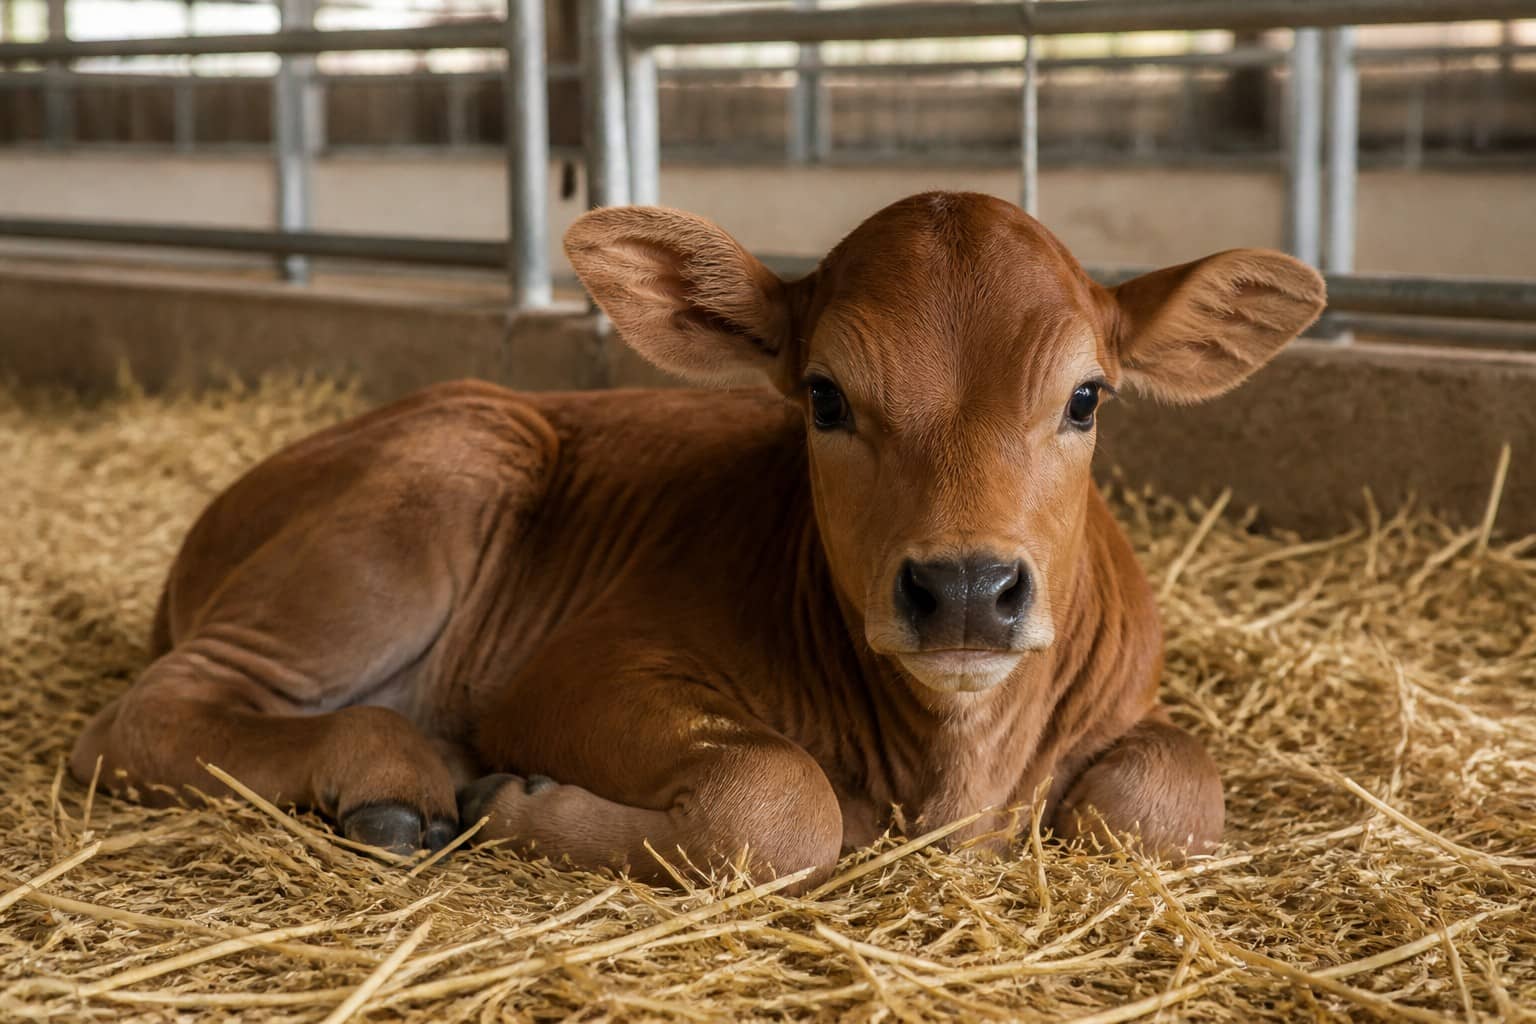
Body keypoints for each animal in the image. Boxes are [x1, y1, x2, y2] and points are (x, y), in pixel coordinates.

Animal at [70, 192, 1325, 888]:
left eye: (1086, 397)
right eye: (823, 396)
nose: (967, 588)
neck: (952, 769)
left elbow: (1169, 796)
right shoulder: (571, 672)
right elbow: (779, 802)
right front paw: (513, 800)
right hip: (444, 471)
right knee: (144, 715)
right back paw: (395, 775)